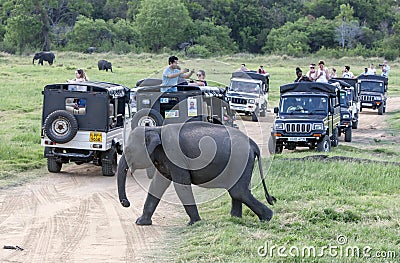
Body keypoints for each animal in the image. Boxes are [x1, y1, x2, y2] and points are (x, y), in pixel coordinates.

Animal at [117, 122, 276, 227]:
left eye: (129, 151)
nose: (126, 203)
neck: (156, 129)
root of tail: (254, 145)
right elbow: (157, 185)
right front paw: (141, 223)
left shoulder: (174, 155)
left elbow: (181, 186)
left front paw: (194, 223)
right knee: (236, 191)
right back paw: (235, 219)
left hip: (240, 160)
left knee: (238, 191)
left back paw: (267, 218)